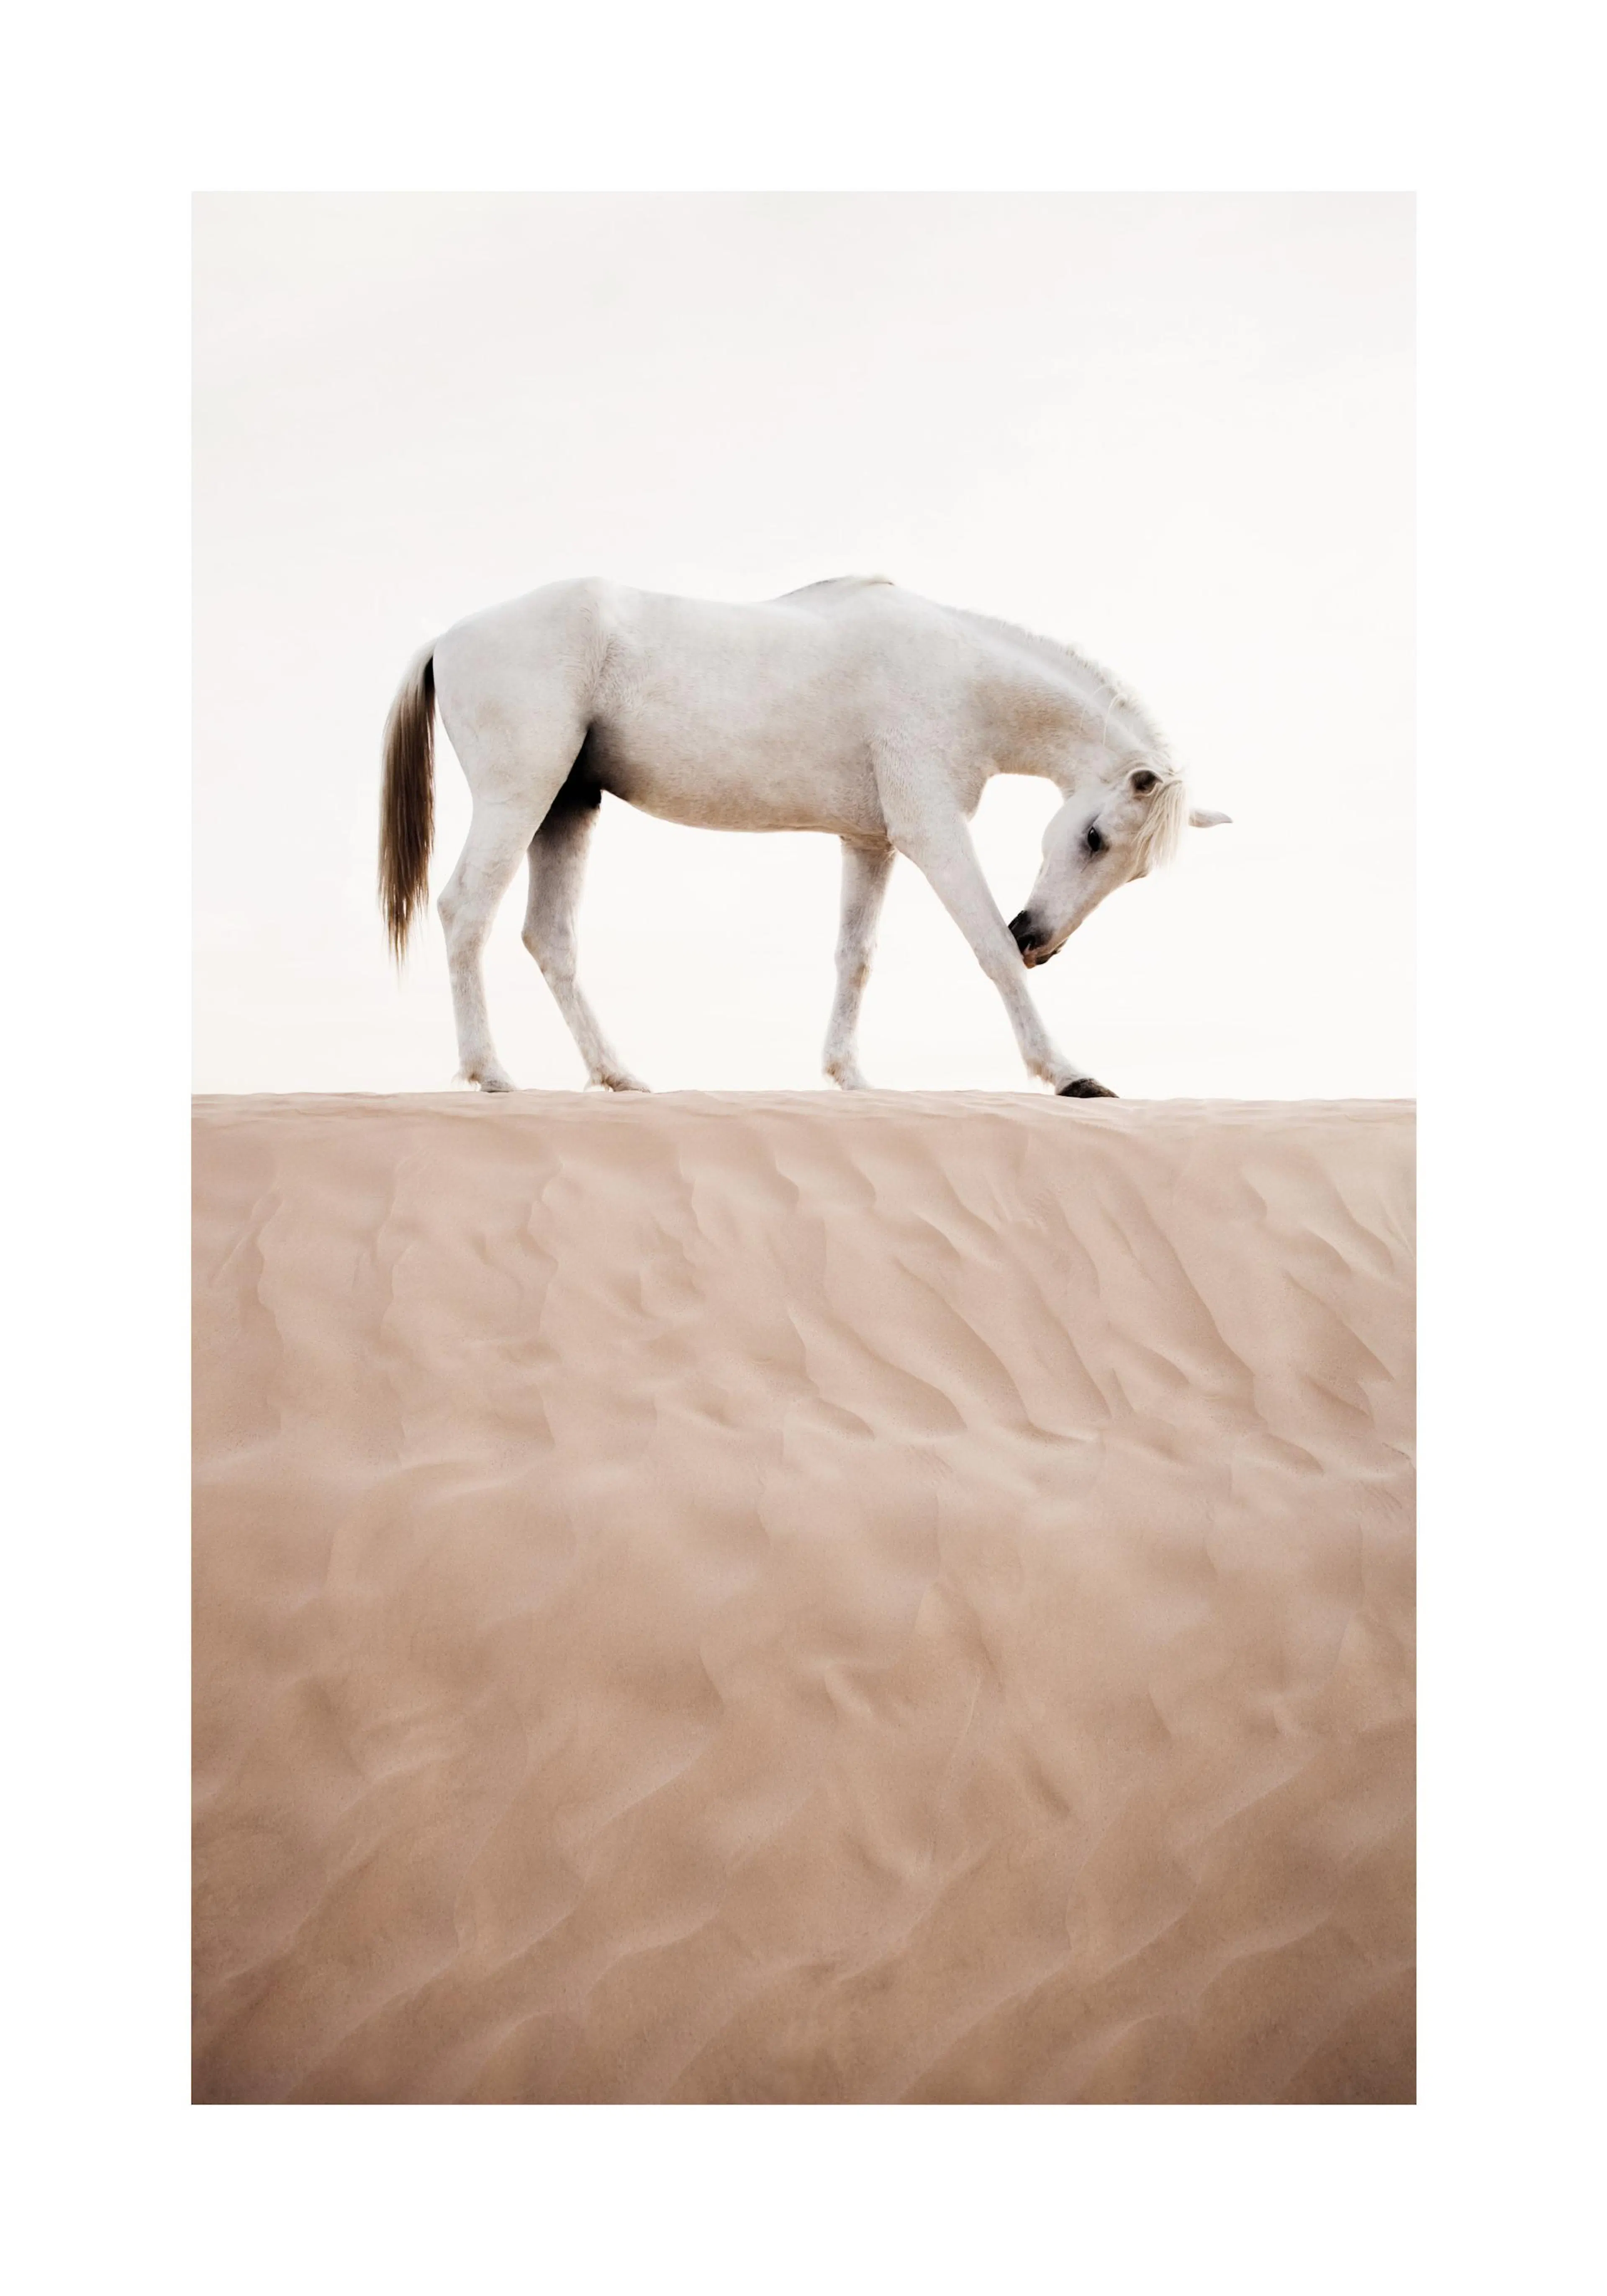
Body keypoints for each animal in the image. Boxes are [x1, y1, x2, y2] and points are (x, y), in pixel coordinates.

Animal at [379, 575, 1230, 1097]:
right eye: (1093, 838)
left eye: (1132, 870)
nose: (1039, 940)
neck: (959, 679)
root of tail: (447, 638)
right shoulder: (931, 831)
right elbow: (984, 947)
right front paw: (1065, 1073)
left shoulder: (871, 843)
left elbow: (856, 958)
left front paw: (849, 1075)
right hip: (519, 800)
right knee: (466, 913)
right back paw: (490, 1072)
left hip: (566, 807)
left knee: (549, 938)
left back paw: (617, 1075)